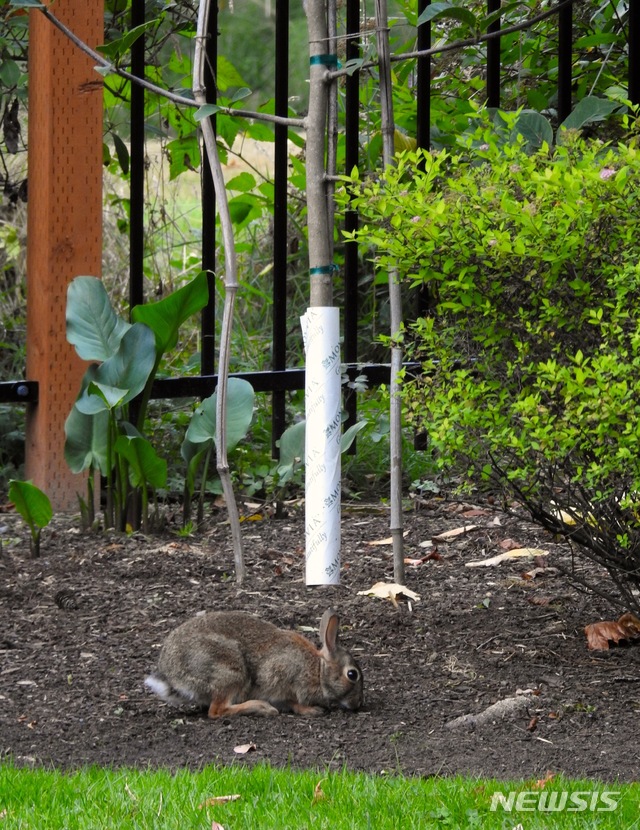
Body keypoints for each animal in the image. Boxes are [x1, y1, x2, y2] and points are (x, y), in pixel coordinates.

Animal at [146, 608, 364, 720]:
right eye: (352, 674)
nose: (358, 705)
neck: (318, 670)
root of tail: (171, 676)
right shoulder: (280, 677)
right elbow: (292, 700)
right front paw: (311, 710)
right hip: (230, 671)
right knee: (217, 711)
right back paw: (261, 708)